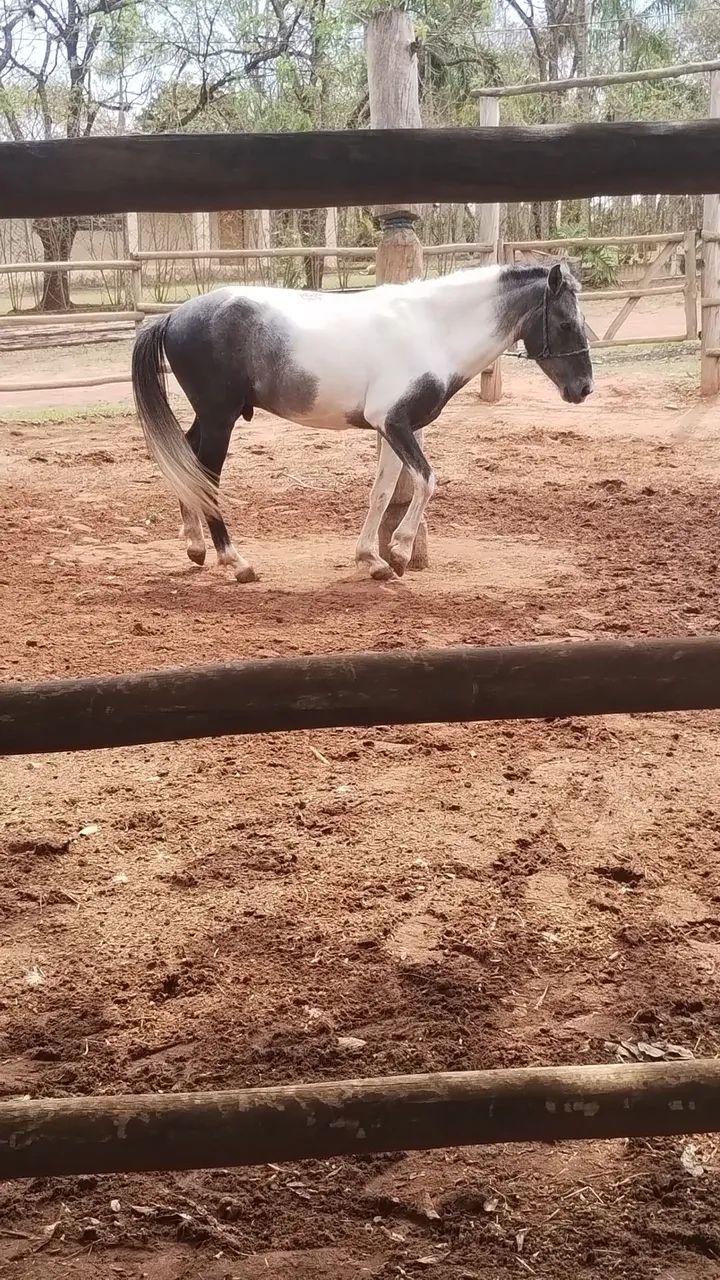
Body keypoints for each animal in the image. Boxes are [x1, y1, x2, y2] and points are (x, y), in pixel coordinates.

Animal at [132, 260, 593, 583]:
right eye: (566, 322)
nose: (584, 388)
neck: (431, 330)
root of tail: (172, 316)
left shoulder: (394, 428)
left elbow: (383, 491)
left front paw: (372, 560)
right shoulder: (395, 422)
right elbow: (427, 480)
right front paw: (401, 553)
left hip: (210, 417)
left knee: (186, 462)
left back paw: (195, 547)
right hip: (220, 417)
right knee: (205, 474)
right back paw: (236, 562)